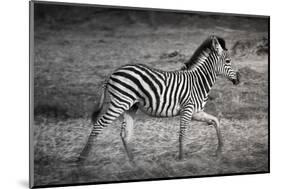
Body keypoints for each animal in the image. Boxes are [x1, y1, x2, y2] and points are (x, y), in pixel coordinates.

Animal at [76, 34, 238, 162]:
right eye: (228, 61)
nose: (239, 79)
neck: (198, 82)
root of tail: (112, 74)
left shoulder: (196, 112)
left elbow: (216, 121)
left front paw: (219, 151)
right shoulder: (187, 109)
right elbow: (182, 134)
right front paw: (181, 159)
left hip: (130, 106)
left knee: (125, 134)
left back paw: (133, 163)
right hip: (120, 103)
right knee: (99, 125)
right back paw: (82, 159)